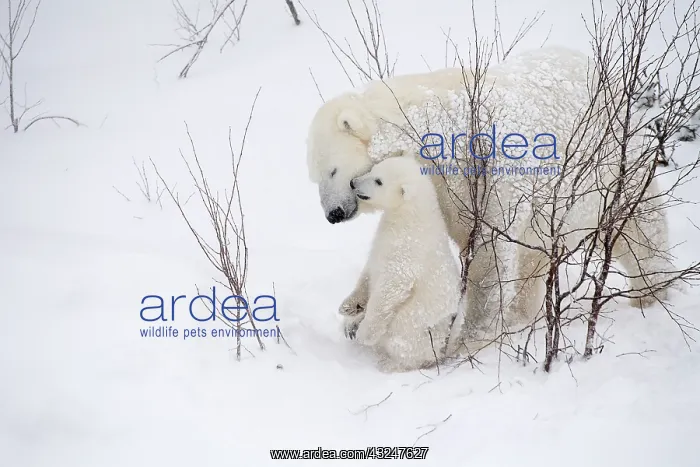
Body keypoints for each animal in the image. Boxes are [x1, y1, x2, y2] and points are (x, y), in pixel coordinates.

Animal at [306, 46, 673, 349]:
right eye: (315, 176)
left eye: (332, 170)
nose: (333, 213)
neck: (447, 128)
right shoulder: (449, 189)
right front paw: (354, 315)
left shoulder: (493, 168)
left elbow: (491, 250)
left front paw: (472, 336)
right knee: (536, 255)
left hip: (616, 161)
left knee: (640, 227)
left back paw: (653, 293)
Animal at [339, 155, 461, 372]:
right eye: (374, 169)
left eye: (379, 181)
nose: (353, 183)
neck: (409, 217)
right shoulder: (383, 243)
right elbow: (370, 270)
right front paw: (349, 307)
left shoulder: (407, 251)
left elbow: (390, 289)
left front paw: (364, 333)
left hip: (417, 331)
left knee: (404, 347)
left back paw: (388, 363)